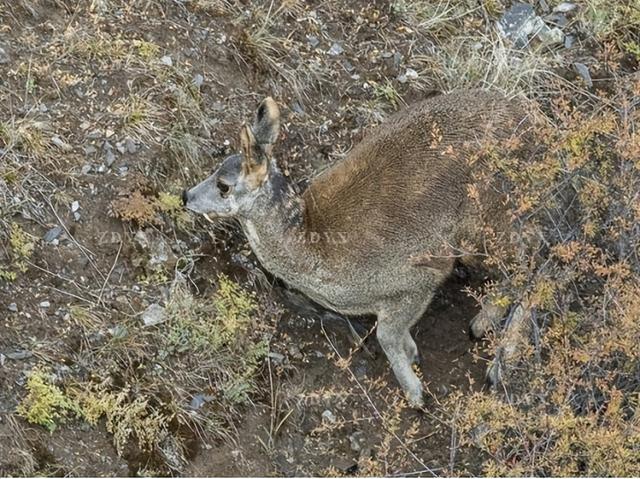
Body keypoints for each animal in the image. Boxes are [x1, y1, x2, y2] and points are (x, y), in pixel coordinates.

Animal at [184, 89, 528, 404]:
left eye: (223, 185)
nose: (187, 195)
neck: (312, 250)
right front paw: (414, 355)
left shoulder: (419, 278)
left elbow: (386, 336)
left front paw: (415, 393)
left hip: (492, 219)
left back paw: (493, 351)